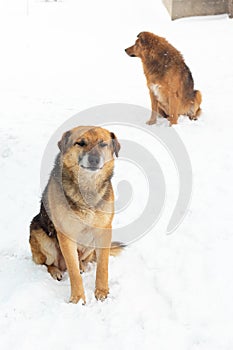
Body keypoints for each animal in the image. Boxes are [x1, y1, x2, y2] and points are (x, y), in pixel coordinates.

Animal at [29, 126, 122, 304]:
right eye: (81, 143)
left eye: (103, 144)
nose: (94, 160)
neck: (87, 188)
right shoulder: (66, 235)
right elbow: (72, 271)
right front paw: (78, 299)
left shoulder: (104, 231)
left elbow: (103, 266)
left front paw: (102, 291)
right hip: (40, 234)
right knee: (48, 263)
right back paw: (56, 271)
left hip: (90, 244)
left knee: (83, 260)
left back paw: (83, 266)